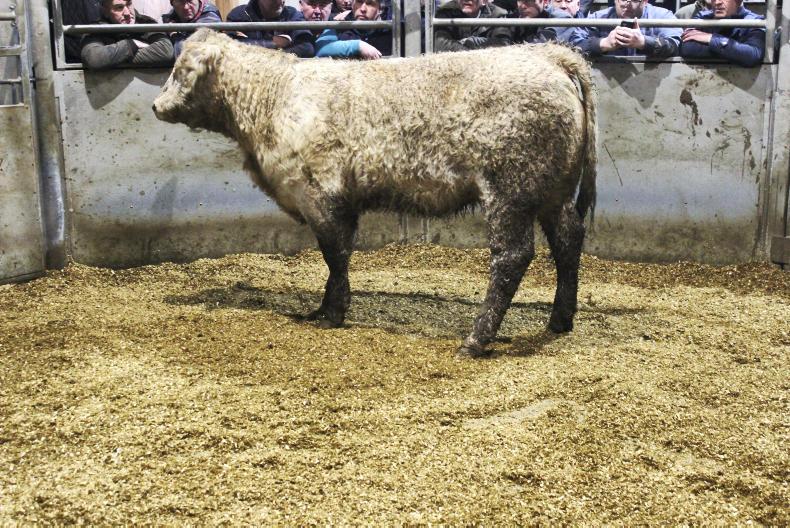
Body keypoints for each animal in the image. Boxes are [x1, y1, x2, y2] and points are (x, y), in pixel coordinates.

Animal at [152, 29, 597, 357]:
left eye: (180, 69)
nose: (156, 105)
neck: (273, 98)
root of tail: (547, 55)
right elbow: (339, 257)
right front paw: (324, 308)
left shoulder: (320, 195)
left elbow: (334, 255)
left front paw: (332, 313)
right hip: (552, 191)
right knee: (568, 239)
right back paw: (560, 319)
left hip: (510, 192)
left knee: (512, 257)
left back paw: (475, 339)